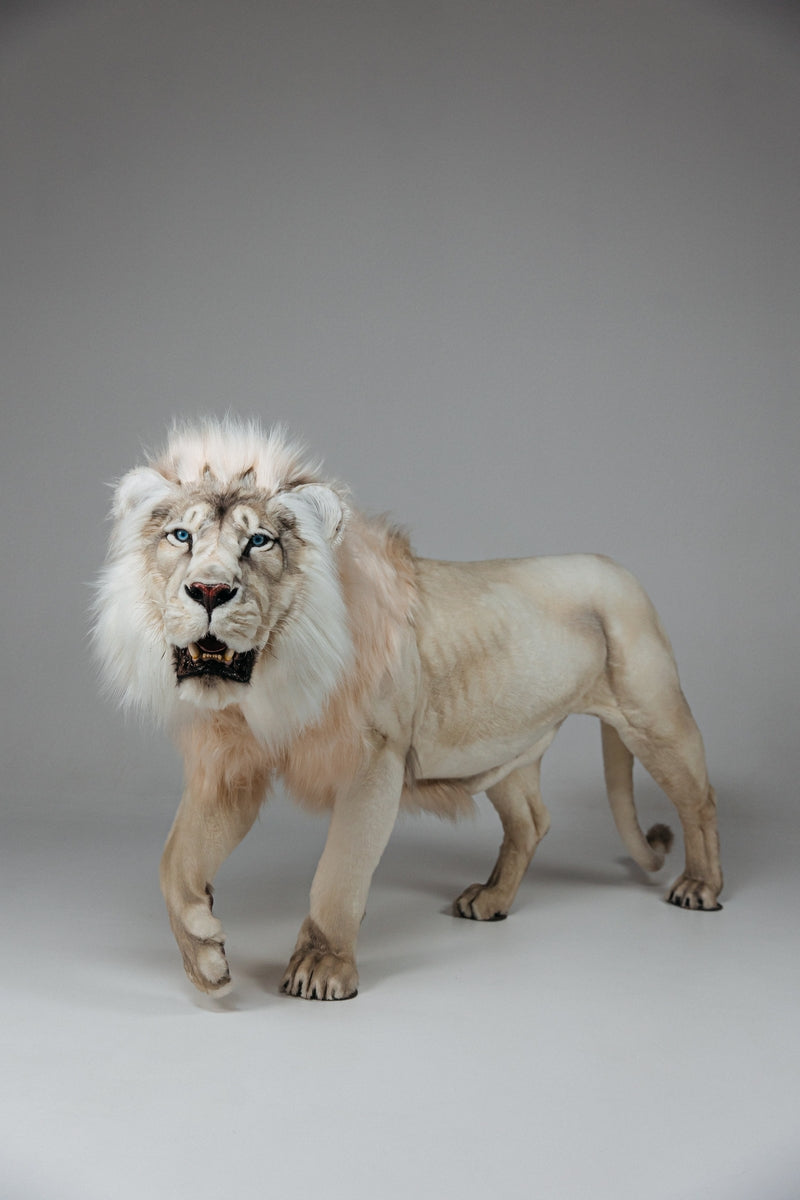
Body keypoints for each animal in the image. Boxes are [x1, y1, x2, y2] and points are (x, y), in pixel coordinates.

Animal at [93, 418, 722, 1001]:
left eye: (260, 543)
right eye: (181, 536)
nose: (209, 592)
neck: (272, 679)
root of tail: (617, 565)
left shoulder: (376, 760)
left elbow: (341, 873)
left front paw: (321, 969)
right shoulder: (236, 766)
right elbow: (174, 862)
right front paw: (205, 954)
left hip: (654, 716)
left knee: (699, 801)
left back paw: (700, 889)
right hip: (506, 750)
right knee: (531, 821)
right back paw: (490, 900)